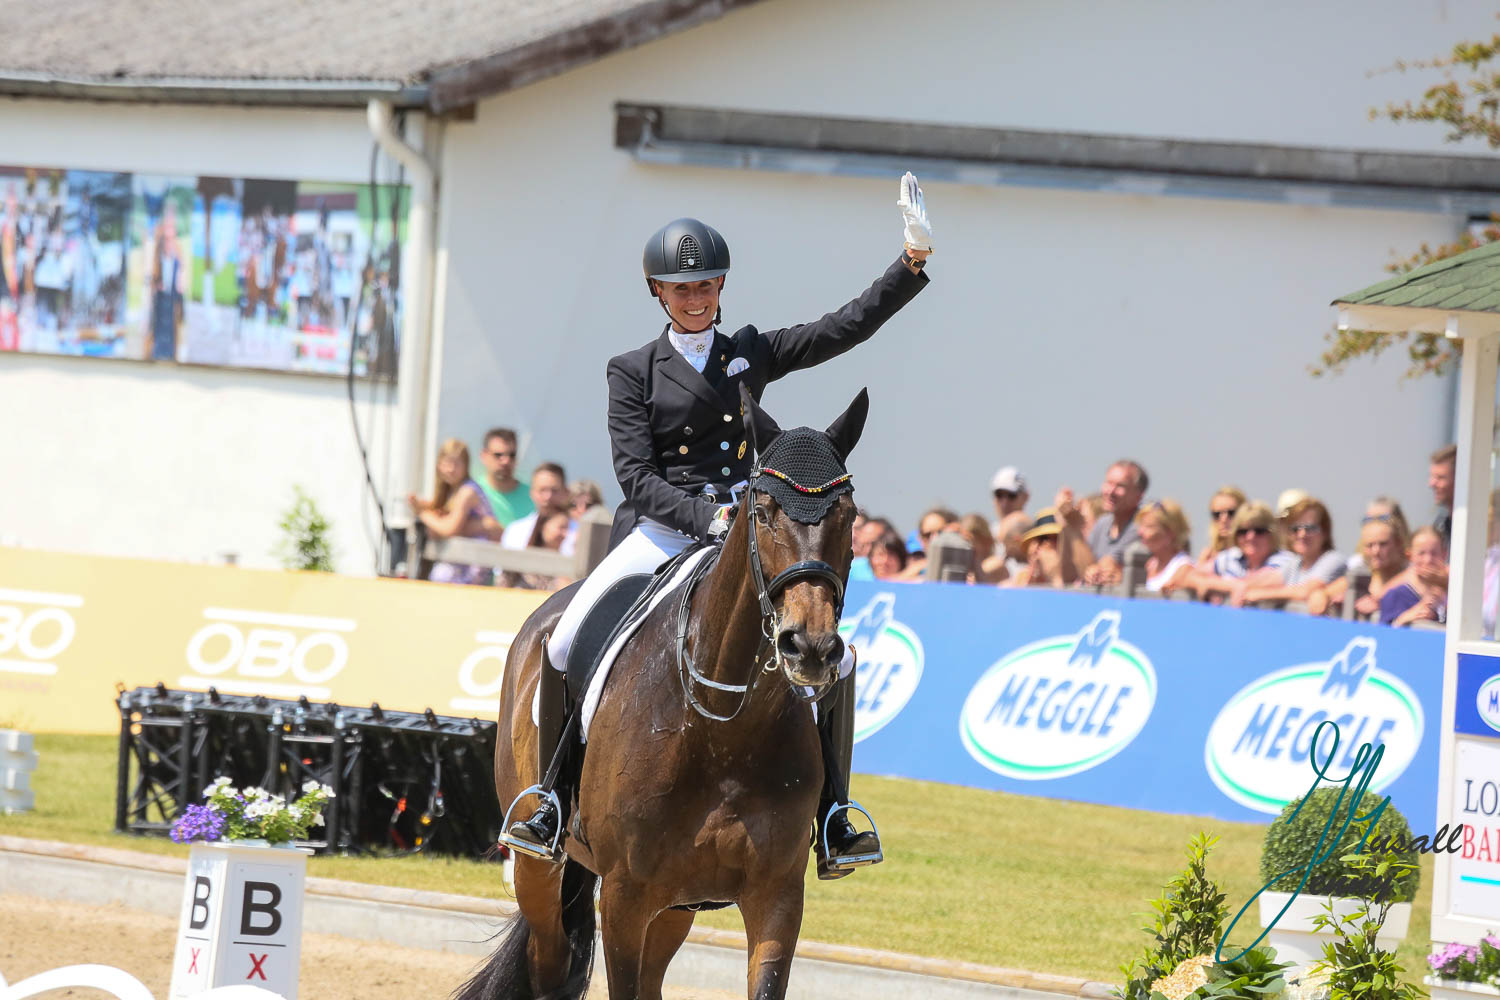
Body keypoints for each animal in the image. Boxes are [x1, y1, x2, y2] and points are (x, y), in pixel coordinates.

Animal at [456, 386, 876, 995]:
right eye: (762, 512)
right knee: (547, 959)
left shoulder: (776, 896)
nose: (812, 648)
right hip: (540, 864)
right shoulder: (625, 896)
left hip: (680, 904)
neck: (724, 723)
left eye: (848, 516)